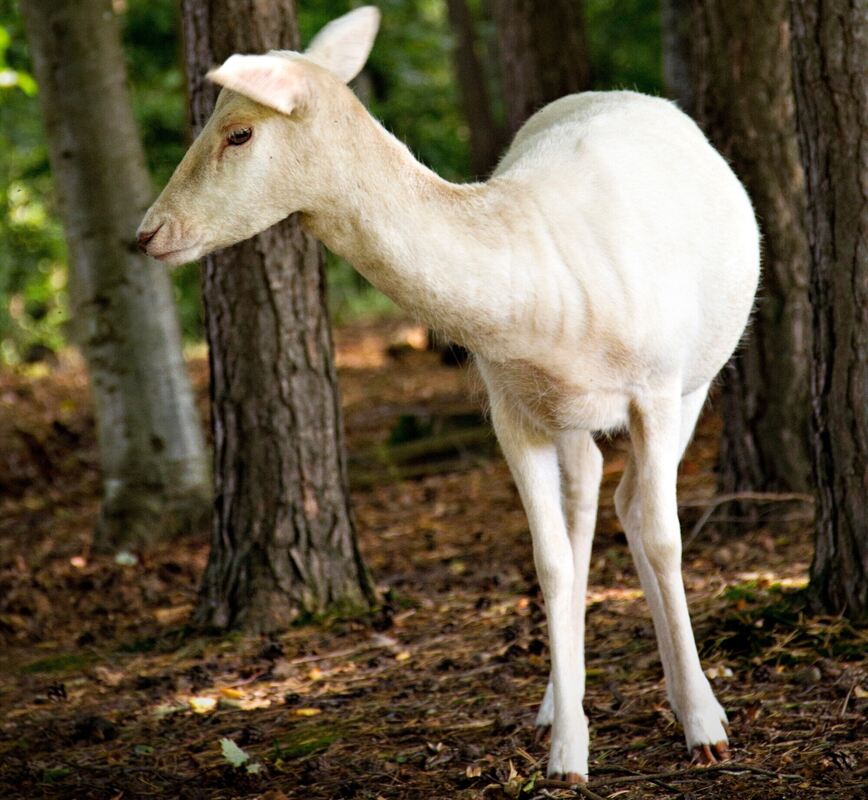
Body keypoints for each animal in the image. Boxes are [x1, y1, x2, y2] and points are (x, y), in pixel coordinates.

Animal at [138, 6, 760, 783]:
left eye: (239, 131)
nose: (148, 232)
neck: (547, 300)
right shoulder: (509, 408)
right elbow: (549, 561)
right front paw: (567, 755)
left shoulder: (657, 384)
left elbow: (666, 538)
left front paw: (706, 727)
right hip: (569, 414)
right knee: (589, 495)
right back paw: (557, 704)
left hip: (700, 374)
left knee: (627, 502)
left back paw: (684, 697)